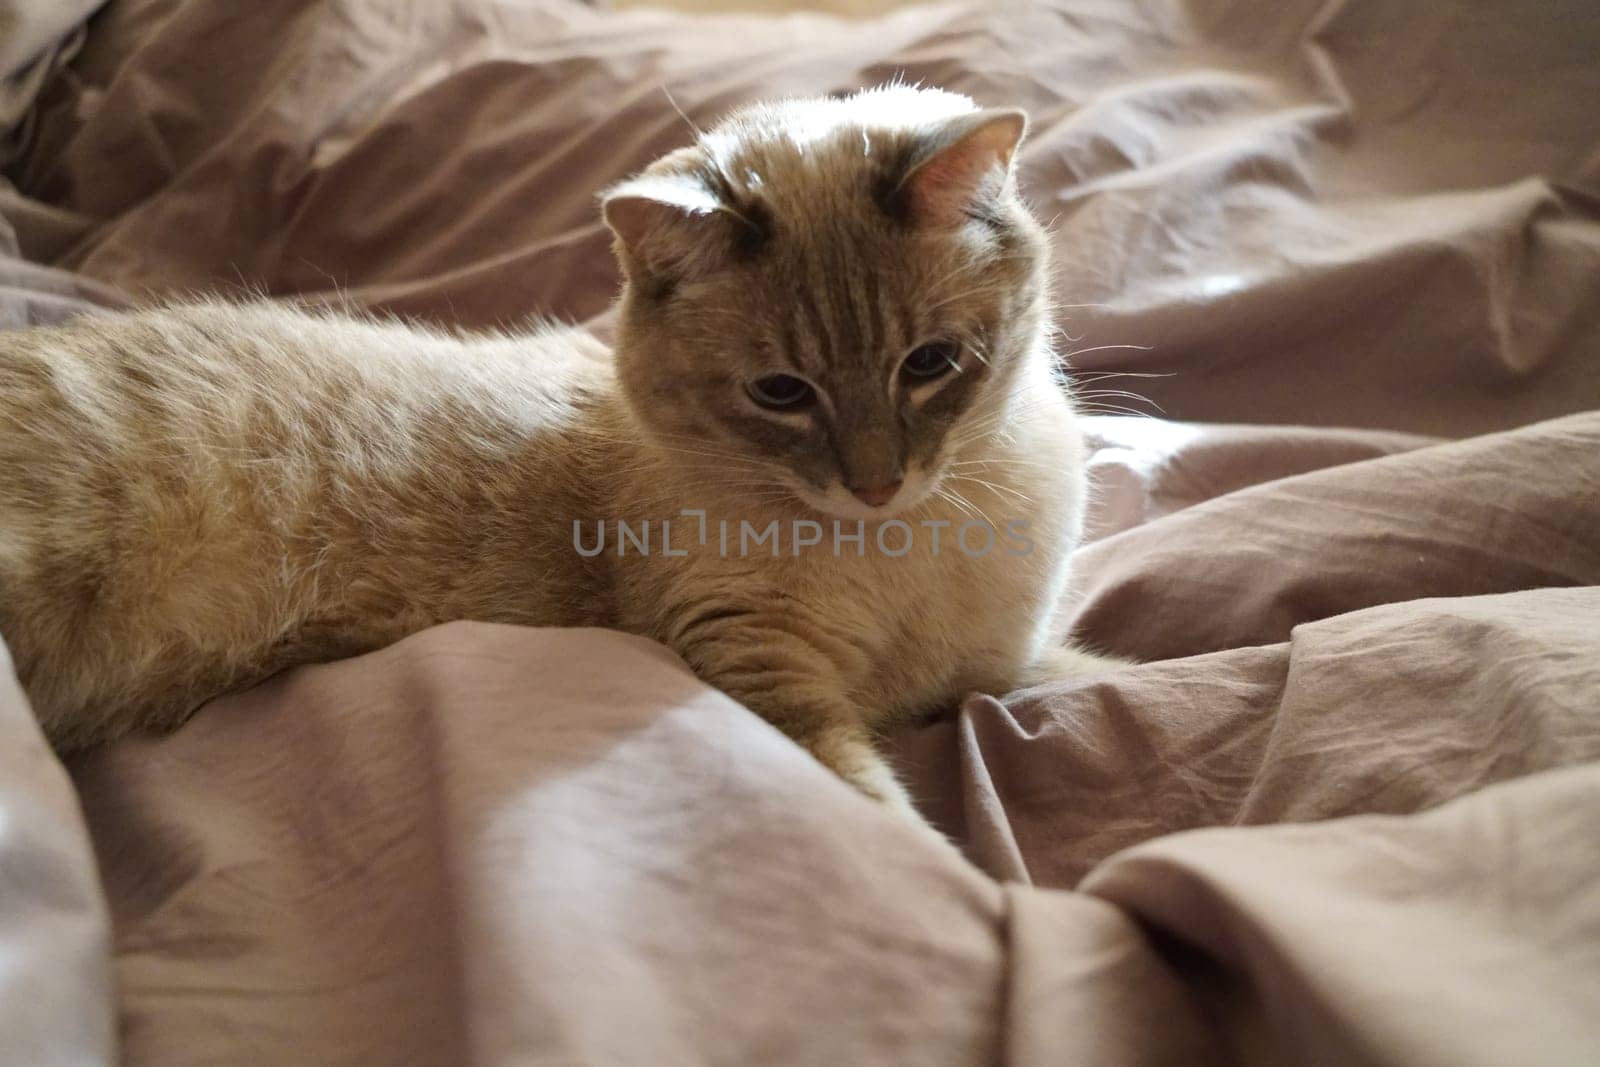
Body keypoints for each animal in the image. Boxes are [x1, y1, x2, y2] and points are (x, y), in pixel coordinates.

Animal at [0, 89, 1113, 825]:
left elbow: (1094, 673)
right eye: (781, 394)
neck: (912, 545)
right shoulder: (758, 661)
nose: (877, 485)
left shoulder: (999, 667)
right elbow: (878, 810)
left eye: (930, 365)